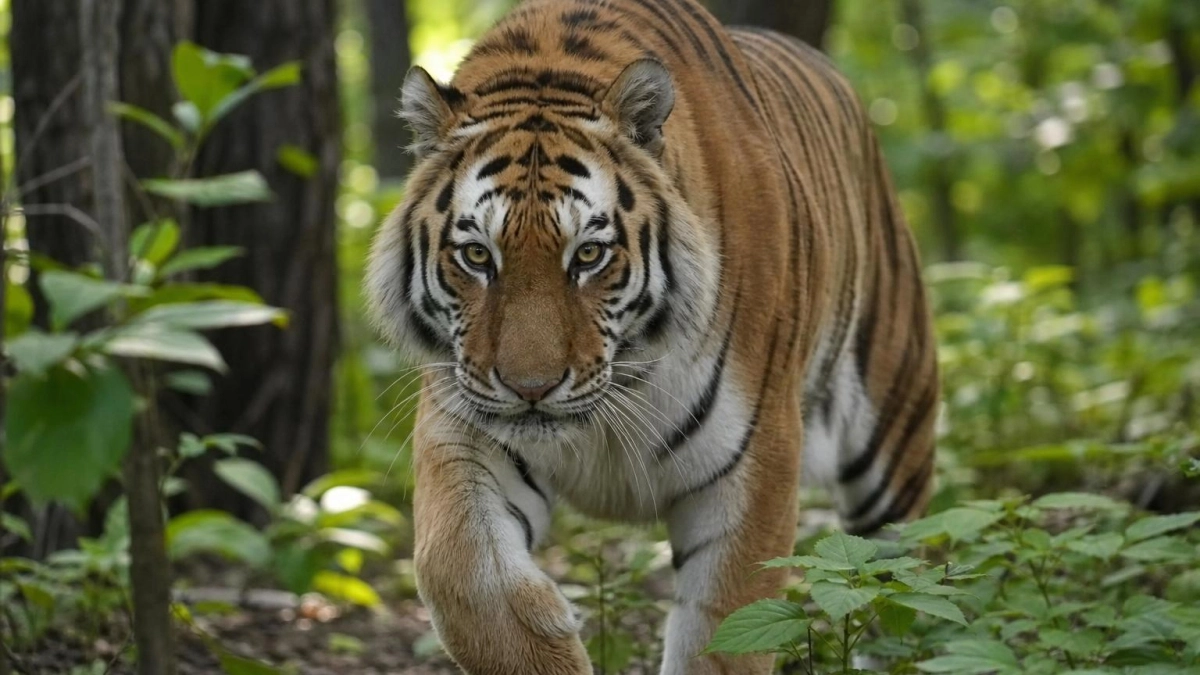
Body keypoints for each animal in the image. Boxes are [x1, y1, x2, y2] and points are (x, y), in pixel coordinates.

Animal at [365, 0, 938, 672]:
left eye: (588, 254)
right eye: (478, 256)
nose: (530, 389)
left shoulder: (754, 464)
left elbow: (724, 636)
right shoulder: (464, 428)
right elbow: (463, 575)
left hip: (894, 448)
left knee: (902, 589)